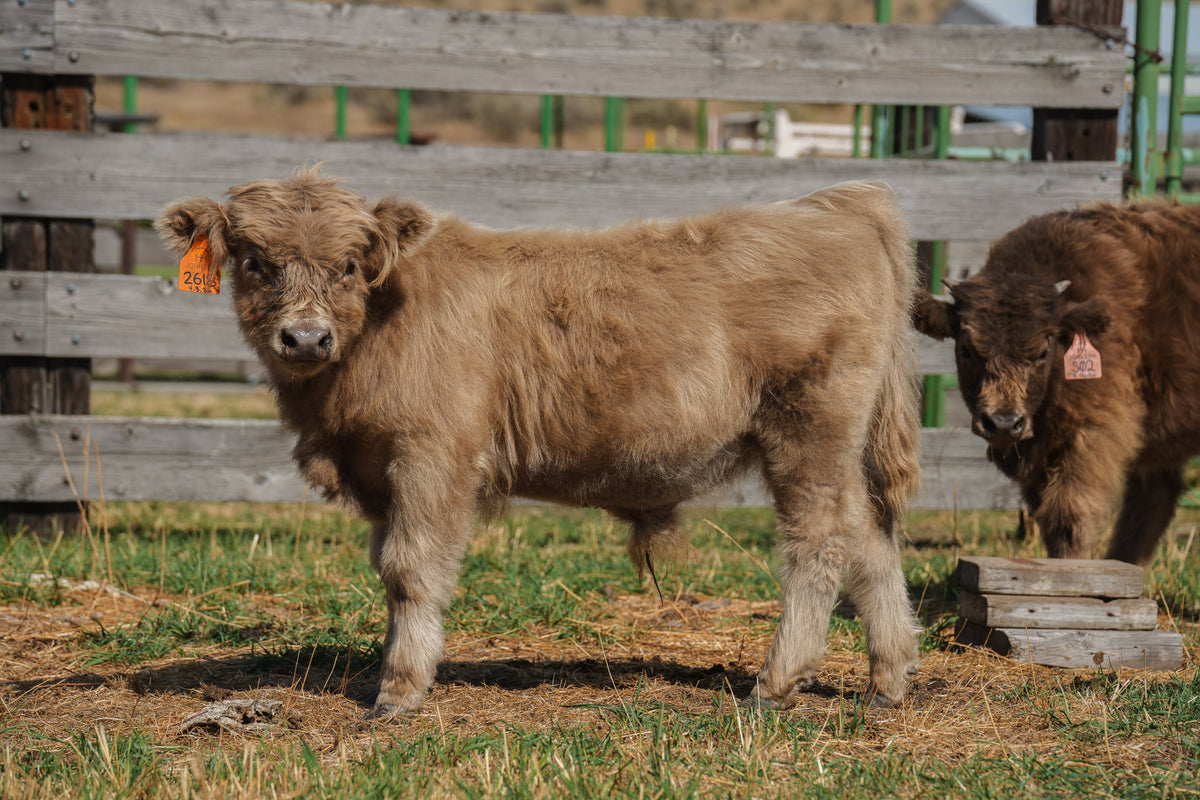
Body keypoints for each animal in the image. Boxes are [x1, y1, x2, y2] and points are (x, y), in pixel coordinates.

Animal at [156, 168, 922, 716]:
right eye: (255, 261)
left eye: (349, 264)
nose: (306, 337)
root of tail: (832, 206)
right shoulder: (380, 472)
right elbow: (388, 572)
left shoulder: (432, 457)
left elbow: (411, 569)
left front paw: (399, 690)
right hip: (839, 450)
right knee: (870, 539)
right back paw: (888, 680)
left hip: (809, 433)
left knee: (818, 545)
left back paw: (776, 682)